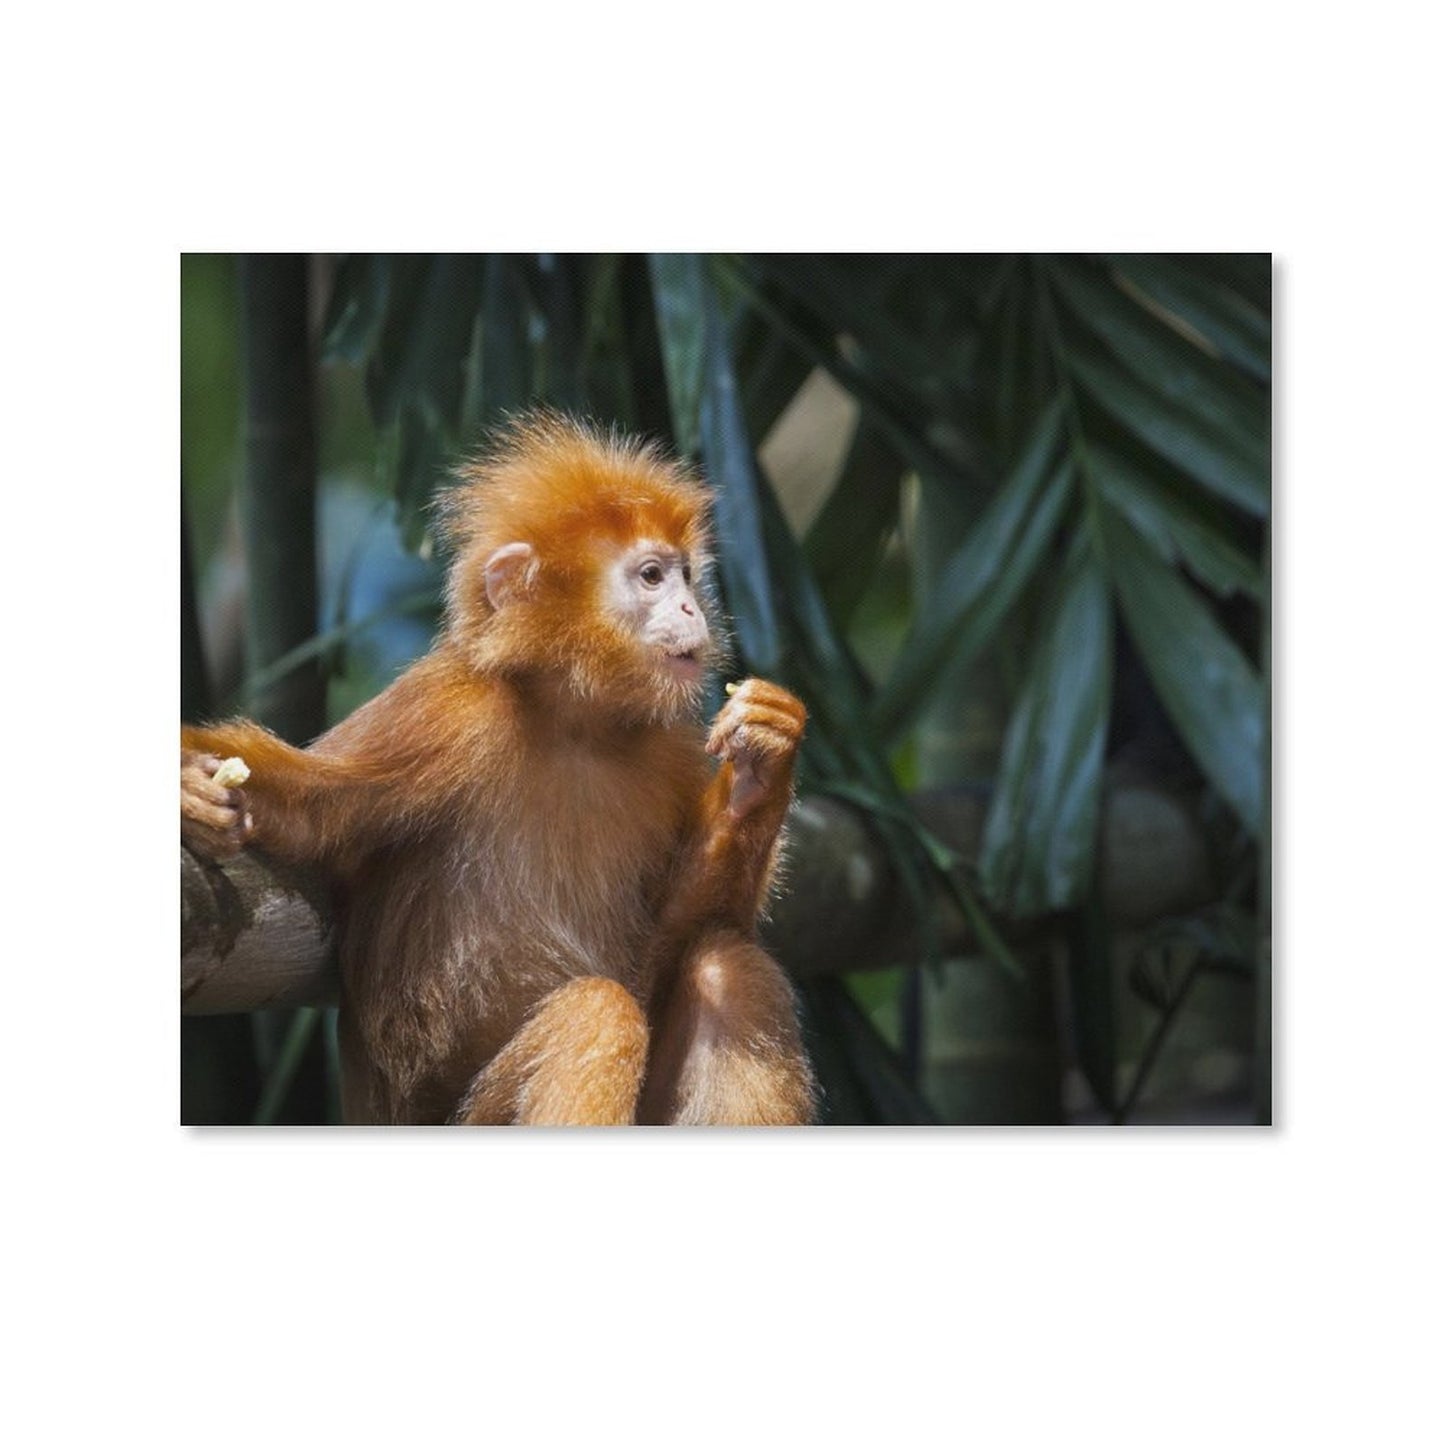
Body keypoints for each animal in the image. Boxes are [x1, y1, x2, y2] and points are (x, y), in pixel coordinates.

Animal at [181, 413, 815, 1125]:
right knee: (598, 1010)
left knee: (726, 967)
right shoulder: (443, 711)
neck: (572, 726)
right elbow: (308, 804)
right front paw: (190, 789)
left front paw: (763, 763)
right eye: (652, 576)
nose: (691, 609)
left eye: (684, 575)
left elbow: (682, 932)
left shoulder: (670, 750)